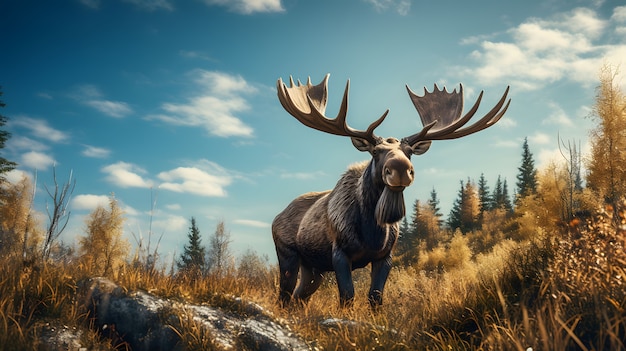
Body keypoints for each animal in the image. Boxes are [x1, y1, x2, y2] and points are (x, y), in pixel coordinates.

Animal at [270, 74, 510, 308]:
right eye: (376, 151)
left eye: (410, 152)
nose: (401, 169)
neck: (372, 232)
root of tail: (277, 217)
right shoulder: (339, 252)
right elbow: (347, 296)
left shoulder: (385, 256)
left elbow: (376, 297)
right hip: (288, 254)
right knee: (284, 295)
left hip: (313, 267)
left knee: (299, 297)